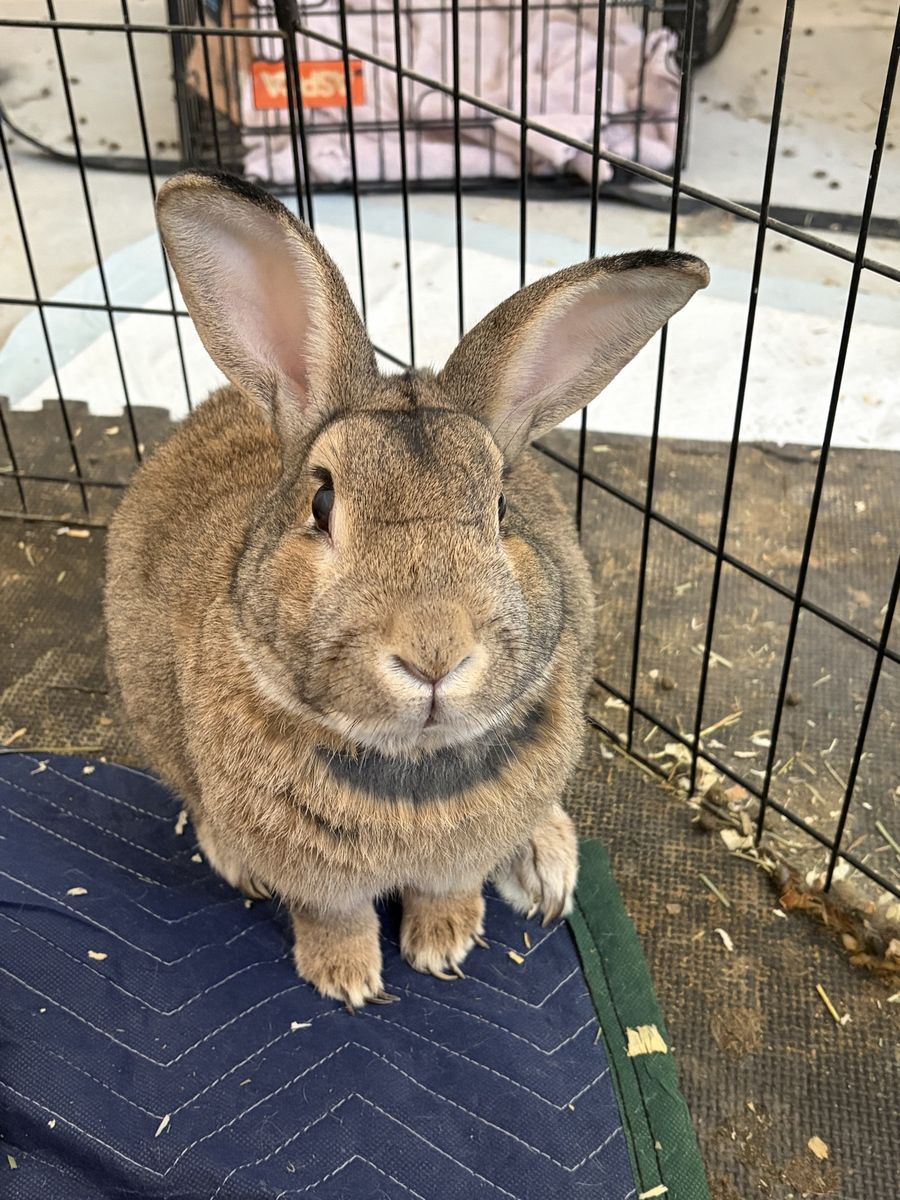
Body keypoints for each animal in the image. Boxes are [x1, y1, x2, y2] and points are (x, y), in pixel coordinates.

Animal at [105, 169, 708, 1010]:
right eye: (321, 502)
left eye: (502, 508)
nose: (434, 654)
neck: (411, 765)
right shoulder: (316, 877)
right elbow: (333, 912)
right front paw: (347, 979)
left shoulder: (459, 853)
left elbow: (448, 885)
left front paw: (444, 942)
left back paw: (546, 863)